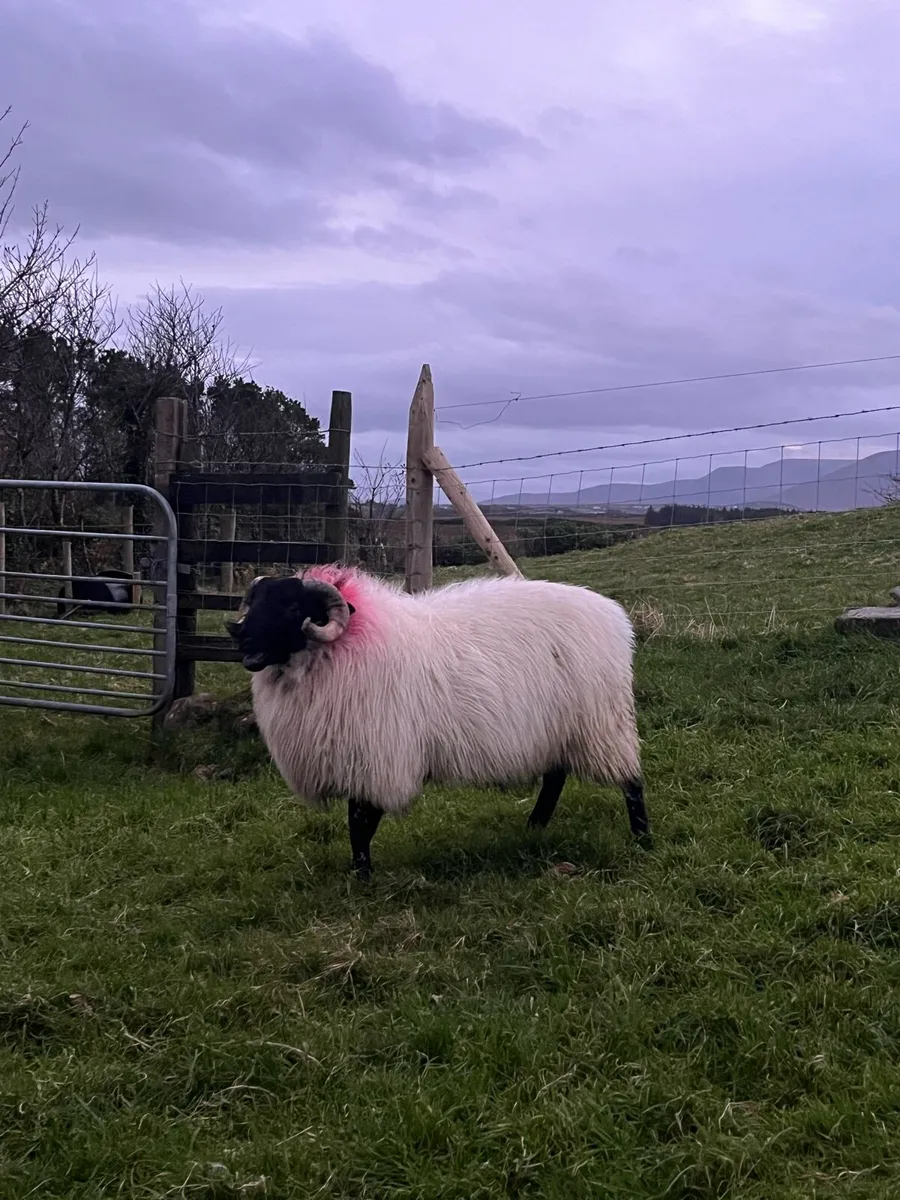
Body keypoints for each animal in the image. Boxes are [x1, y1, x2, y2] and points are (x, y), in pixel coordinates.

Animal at [226, 565, 649, 880]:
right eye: (256, 602)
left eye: (292, 608)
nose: (242, 639)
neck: (338, 652)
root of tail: (612, 615)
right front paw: (360, 875)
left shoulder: (378, 757)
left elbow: (360, 822)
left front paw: (363, 879)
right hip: (556, 728)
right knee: (555, 778)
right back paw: (535, 827)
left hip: (603, 722)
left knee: (631, 783)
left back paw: (643, 841)